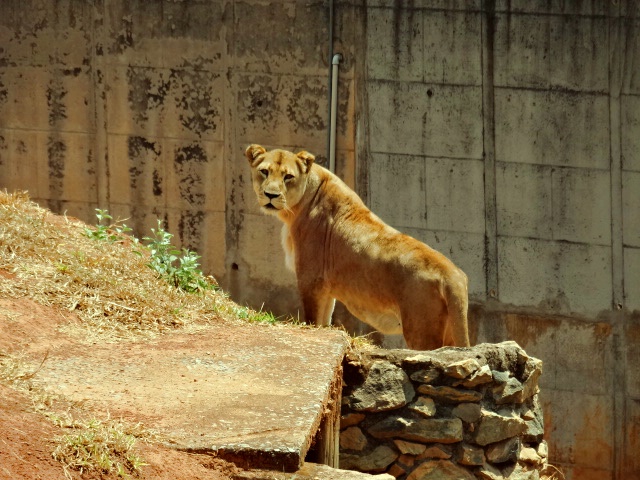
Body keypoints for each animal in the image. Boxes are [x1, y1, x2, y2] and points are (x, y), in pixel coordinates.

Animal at [246, 144, 470, 350]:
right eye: (264, 171)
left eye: (288, 176)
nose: (271, 195)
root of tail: (453, 276)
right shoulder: (326, 288)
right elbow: (324, 322)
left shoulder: (311, 280)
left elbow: (312, 321)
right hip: (450, 330)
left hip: (421, 329)